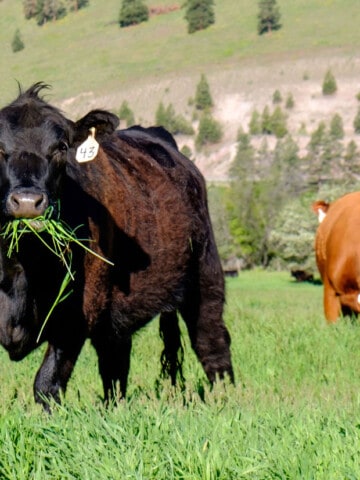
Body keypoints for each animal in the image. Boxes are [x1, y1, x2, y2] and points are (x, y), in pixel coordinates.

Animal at [0, 83, 233, 408]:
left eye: (61, 148)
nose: (26, 202)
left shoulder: (77, 314)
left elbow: (47, 384)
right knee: (115, 362)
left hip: (205, 276)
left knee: (211, 342)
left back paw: (226, 399)